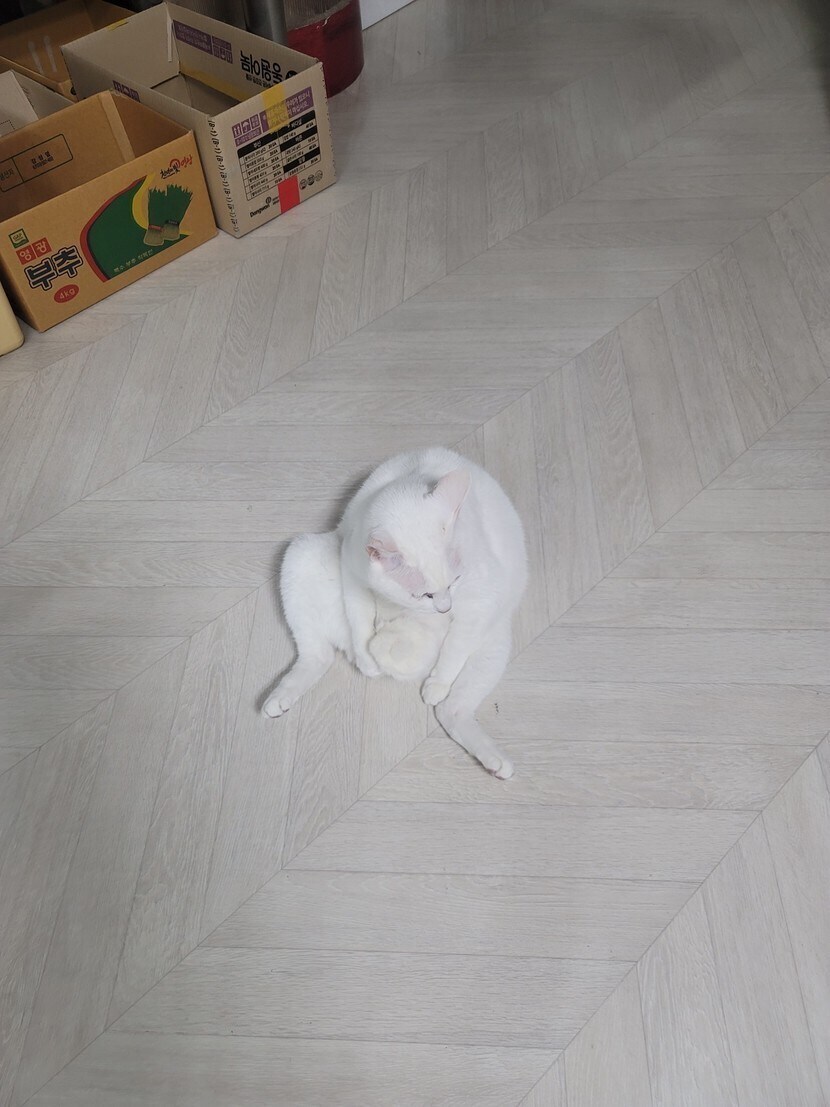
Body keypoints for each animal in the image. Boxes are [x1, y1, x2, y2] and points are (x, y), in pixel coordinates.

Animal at [263, 446, 527, 779]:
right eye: (425, 595)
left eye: (454, 581)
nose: (445, 609)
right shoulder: (353, 571)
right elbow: (360, 620)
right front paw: (367, 656)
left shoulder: (483, 597)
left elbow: (455, 648)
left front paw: (438, 683)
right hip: (303, 556)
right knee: (317, 655)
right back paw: (284, 697)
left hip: (493, 642)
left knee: (450, 709)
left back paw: (493, 760)